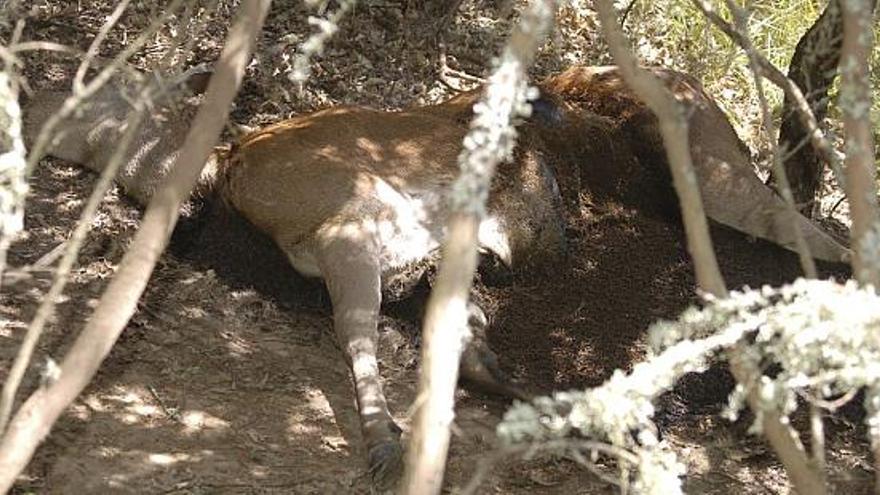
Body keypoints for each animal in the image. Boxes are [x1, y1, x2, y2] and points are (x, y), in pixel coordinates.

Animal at [24, 67, 848, 492]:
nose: (28, 115)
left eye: (86, 88)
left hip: (714, 171)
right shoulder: (409, 257)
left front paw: (389, 442)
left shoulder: (361, 232)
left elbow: (366, 333)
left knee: (815, 236)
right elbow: (456, 343)